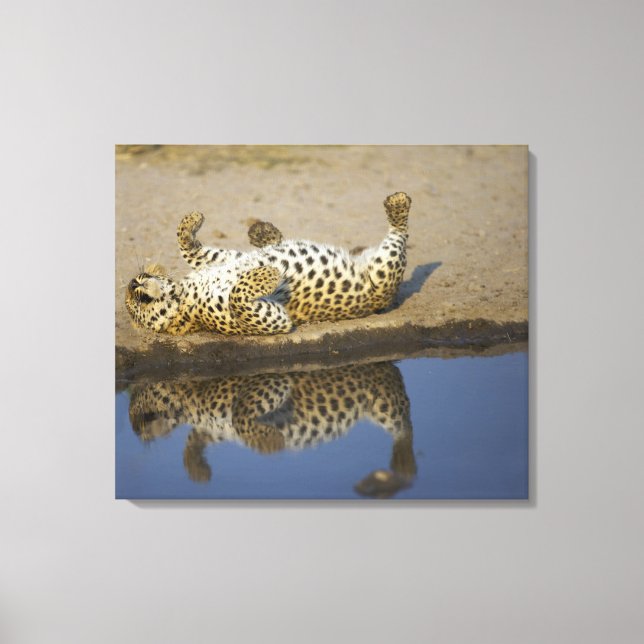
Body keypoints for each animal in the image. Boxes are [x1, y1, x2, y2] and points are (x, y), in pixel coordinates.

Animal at [125, 192, 412, 335]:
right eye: (135, 304)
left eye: (137, 282)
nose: (132, 284)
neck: (184, 293)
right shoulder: (273, 320)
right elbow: (237, 297)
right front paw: (270, 273)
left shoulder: (224, 260)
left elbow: (190, 249)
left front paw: (191, 220)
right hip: (382, 272)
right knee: (399, 232)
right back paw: (398, 203)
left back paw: (262, 232)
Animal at [127, 361, 416, 492]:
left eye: (142, 418)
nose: (134, 431)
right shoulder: (214, 427)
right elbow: (195, 437)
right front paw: (197, 469)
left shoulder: (268, 381)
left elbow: (240, 414)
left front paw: (274, 442)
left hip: (383, 403)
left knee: (403, 424)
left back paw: (404, 462)